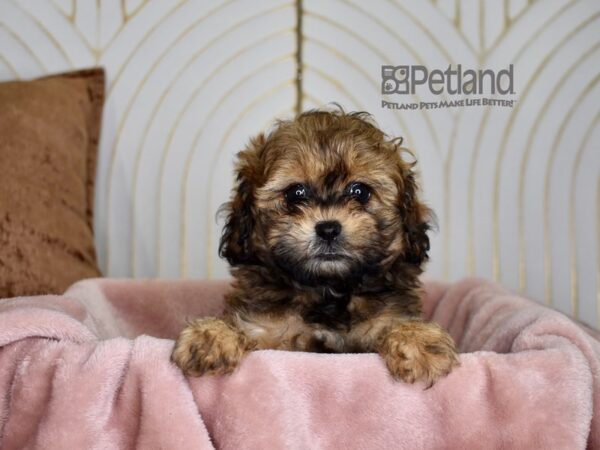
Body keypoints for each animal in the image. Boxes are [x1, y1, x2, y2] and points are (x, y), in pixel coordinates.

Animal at [171, 109, 462, 386]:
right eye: (295, 193)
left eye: (359, 191)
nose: (329, 229)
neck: (327, 290)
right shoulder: (266, 327)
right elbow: (245, 328)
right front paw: (211, 336)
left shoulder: (385, 317)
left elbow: (393, 324)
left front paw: (420, 342)